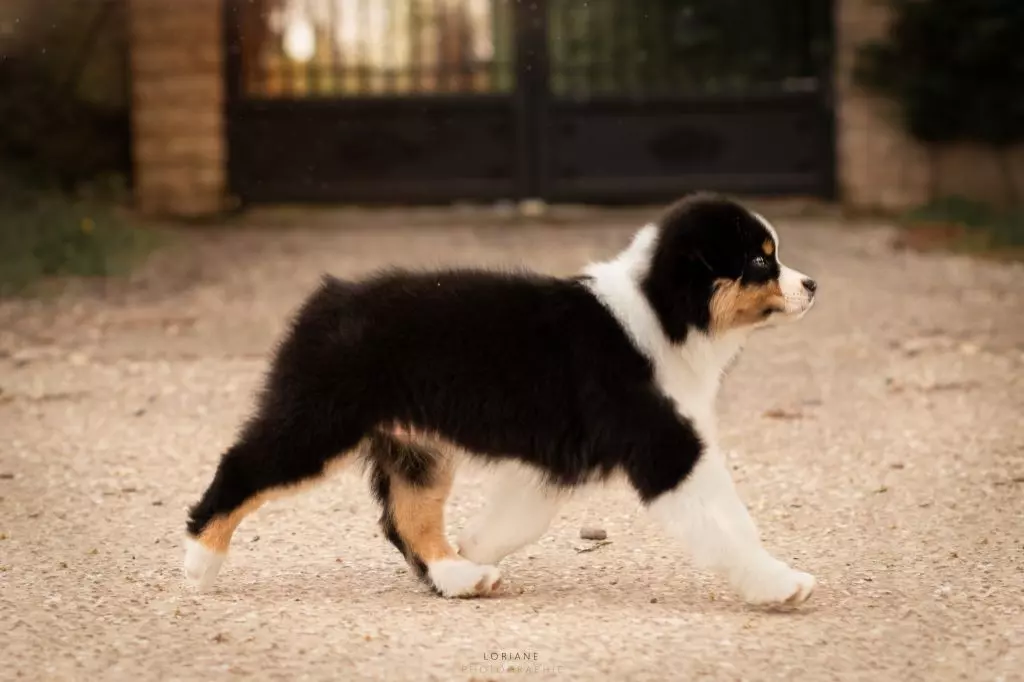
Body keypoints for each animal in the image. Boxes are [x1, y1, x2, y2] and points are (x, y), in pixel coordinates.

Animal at [183, 192, 819, 606]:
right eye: (760, 259)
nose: (812, 285)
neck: (663, 311)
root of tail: (326, 298)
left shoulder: (556, 463)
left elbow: (516, 520)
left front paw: (475, 549)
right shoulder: (666, 448)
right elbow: (727, 524)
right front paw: (779, 584)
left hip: (417, 448)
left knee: (408, 519)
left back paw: (459, 576)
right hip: (317, 423)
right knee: (241, 466)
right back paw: (199, 564)